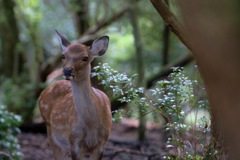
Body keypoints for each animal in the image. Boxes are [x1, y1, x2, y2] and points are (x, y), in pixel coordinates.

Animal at [38, 30, 111, 160]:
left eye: (85, 57)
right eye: (63, 56)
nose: (67, 70)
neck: (91, 125)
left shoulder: (102, 142)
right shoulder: (73, 140)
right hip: (51, 132)